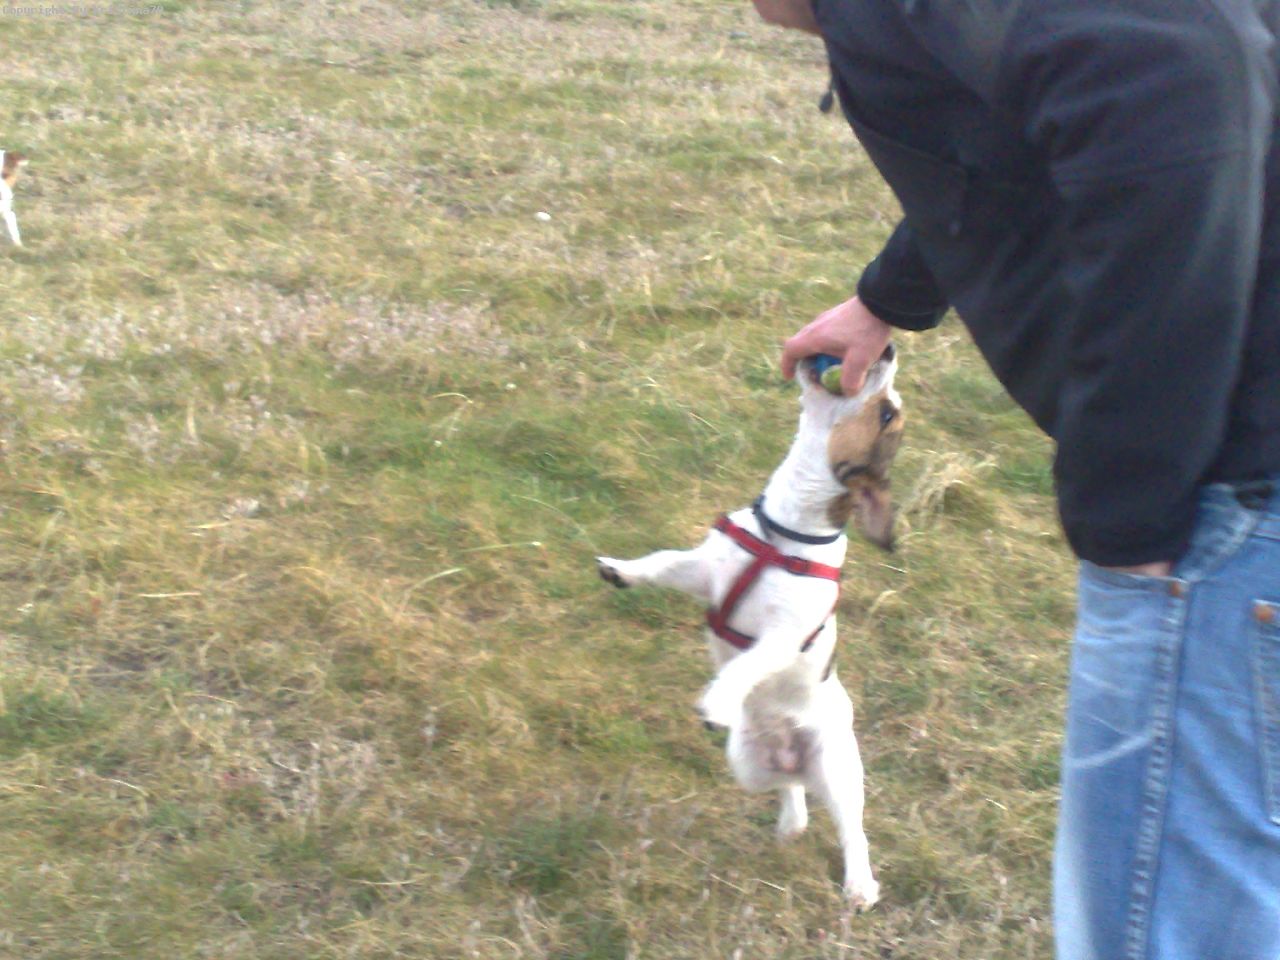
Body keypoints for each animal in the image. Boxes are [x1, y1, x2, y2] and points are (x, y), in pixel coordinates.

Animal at [597, 345, 904, 910]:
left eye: (888, 413)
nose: (889, 347)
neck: (783, 530)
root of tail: (793, 756)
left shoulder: (782, 638)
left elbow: (746, 665)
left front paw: (717, 700)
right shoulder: (704, 572)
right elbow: (660, 561)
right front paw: (621, 570)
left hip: (837, 768)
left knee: (852, 830)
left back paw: (860, 886)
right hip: (749, 764)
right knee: (792, 792)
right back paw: (789, 823)